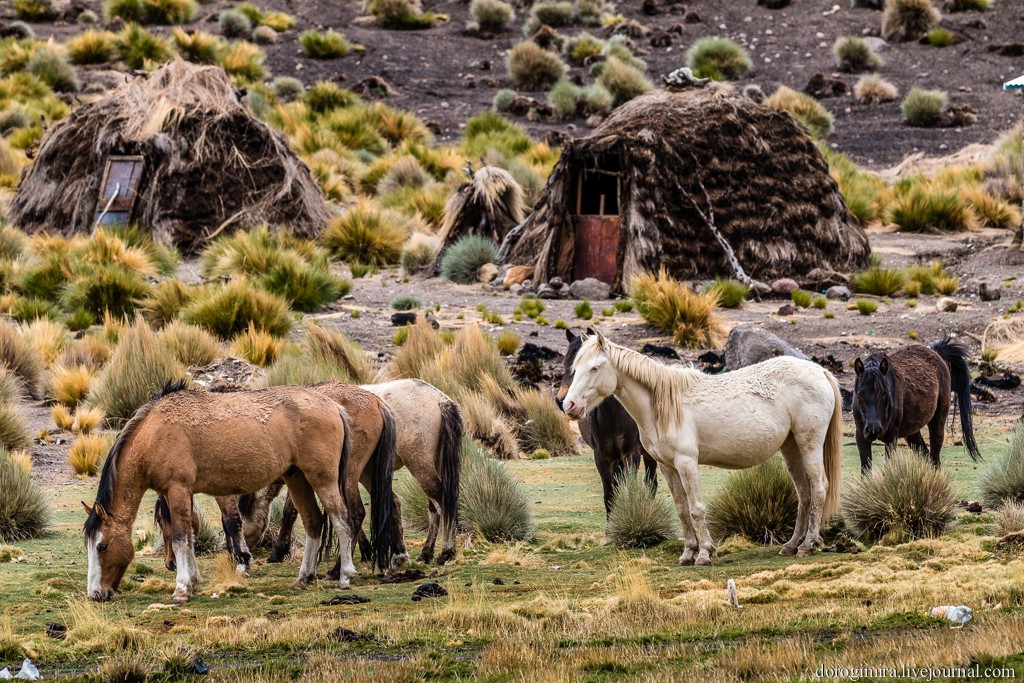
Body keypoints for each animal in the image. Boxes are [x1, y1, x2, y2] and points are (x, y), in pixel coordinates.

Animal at [84, 385, 356, 602]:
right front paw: (192, 580)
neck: (154, 433)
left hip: (323, 480)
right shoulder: (181, 493)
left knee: (342, 521)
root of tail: (333, 405)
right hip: (296, 478)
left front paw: (181, 589)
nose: (95, 594)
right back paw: (303, 578)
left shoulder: (177, 489)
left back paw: (345, 576)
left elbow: (181, 538)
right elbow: (189, 536)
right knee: (313, 523)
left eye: (103, 546)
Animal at [245, 378, 462, 565]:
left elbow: (290, 511)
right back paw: (426, 553)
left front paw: (277, 552)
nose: (241, 553)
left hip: (419, 464)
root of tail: (440, 399)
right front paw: (365, 549)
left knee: (441, 503)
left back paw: (445, 552)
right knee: (434, 508)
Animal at [561, 327, 655, 516]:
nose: (567, 403)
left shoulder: (632, 454)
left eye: (593, 368)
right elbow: (609, 496)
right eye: (566, 364)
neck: (613, 417)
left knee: (651, 484)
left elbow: (631, 491)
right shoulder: (602, 457)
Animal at [847, 335, 983, 471]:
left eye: (885, 394)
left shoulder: (891, 438)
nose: (873, 429)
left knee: (935, 457)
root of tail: (936, 352)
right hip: (912, 432)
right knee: (926, 454)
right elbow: (866, 470)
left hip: (937, 420)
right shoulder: (861, 437)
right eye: (859, 394)